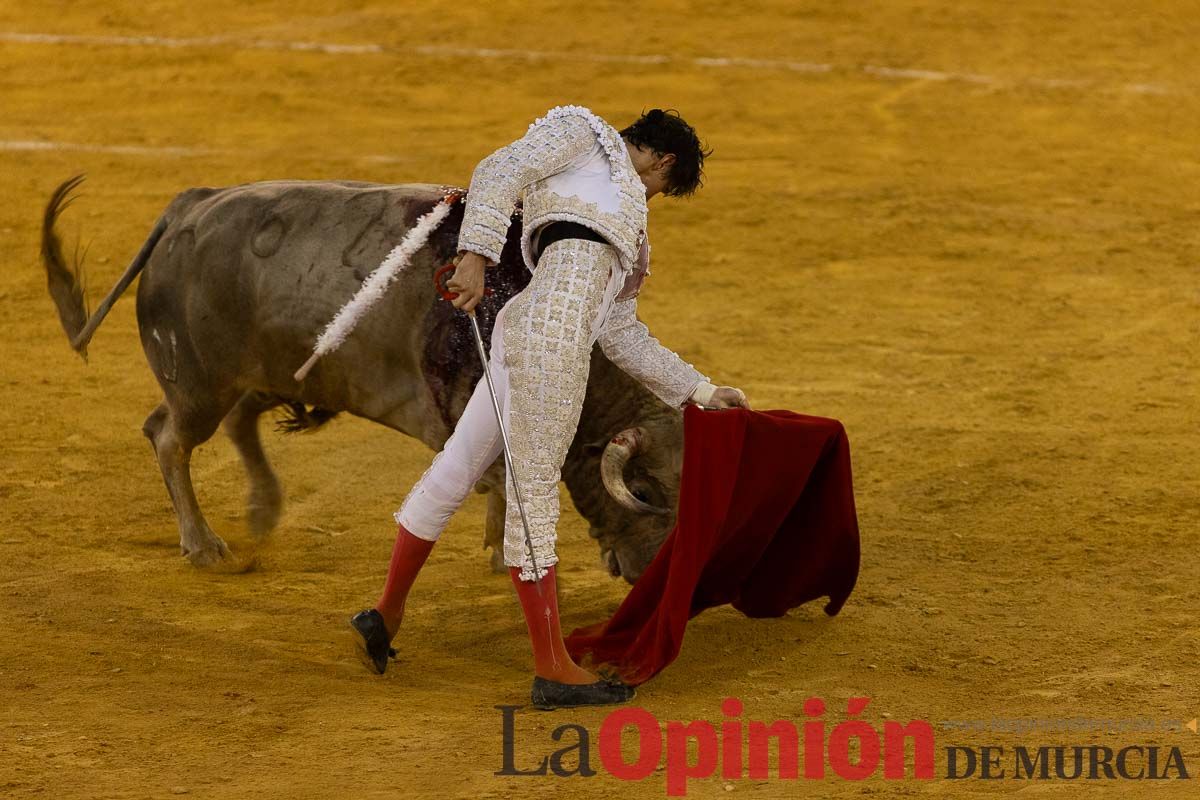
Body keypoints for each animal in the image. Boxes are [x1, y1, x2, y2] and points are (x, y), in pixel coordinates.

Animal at [44, 176, 686, 582]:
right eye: (645, 493)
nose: (649, 577)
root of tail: (188, 206)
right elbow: (504, 482)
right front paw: (507, 557)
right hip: (201, 384)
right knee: (170, 439)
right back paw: (205, 546)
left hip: (263, 373)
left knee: (228, 422)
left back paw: (263, 509)